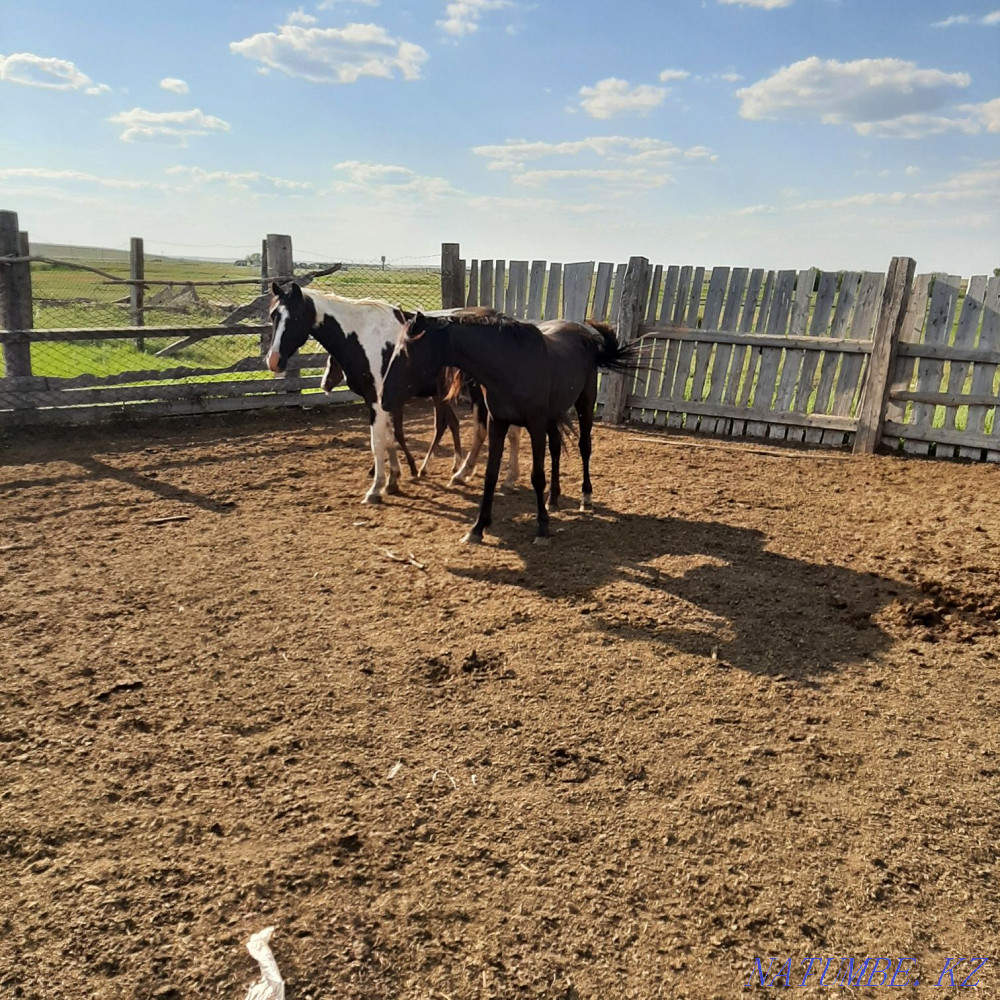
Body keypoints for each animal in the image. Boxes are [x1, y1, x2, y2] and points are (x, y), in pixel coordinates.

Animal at [267, 283, 512, 503]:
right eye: (273, 316)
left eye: (295, 318)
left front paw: (376, 488)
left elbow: (378, 442)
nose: (273, 360)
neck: (363, 337)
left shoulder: (378, 402)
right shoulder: (381, 402)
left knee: (482, 431)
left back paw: (468, 473)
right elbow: (390, 438)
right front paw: (393, 479)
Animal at [382, 311, 640, 545]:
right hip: (554, 415)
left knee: (584, 448)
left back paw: (586, 497)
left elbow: (537, 476)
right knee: (556, 449)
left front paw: (542, 529)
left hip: (584, 405)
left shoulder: (535, 425)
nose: (384, 398)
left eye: (404, 352)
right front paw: (478, 528)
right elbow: (490, 475)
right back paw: (553, 499)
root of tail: (585, 336)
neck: (511, 365)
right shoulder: (498, 423)